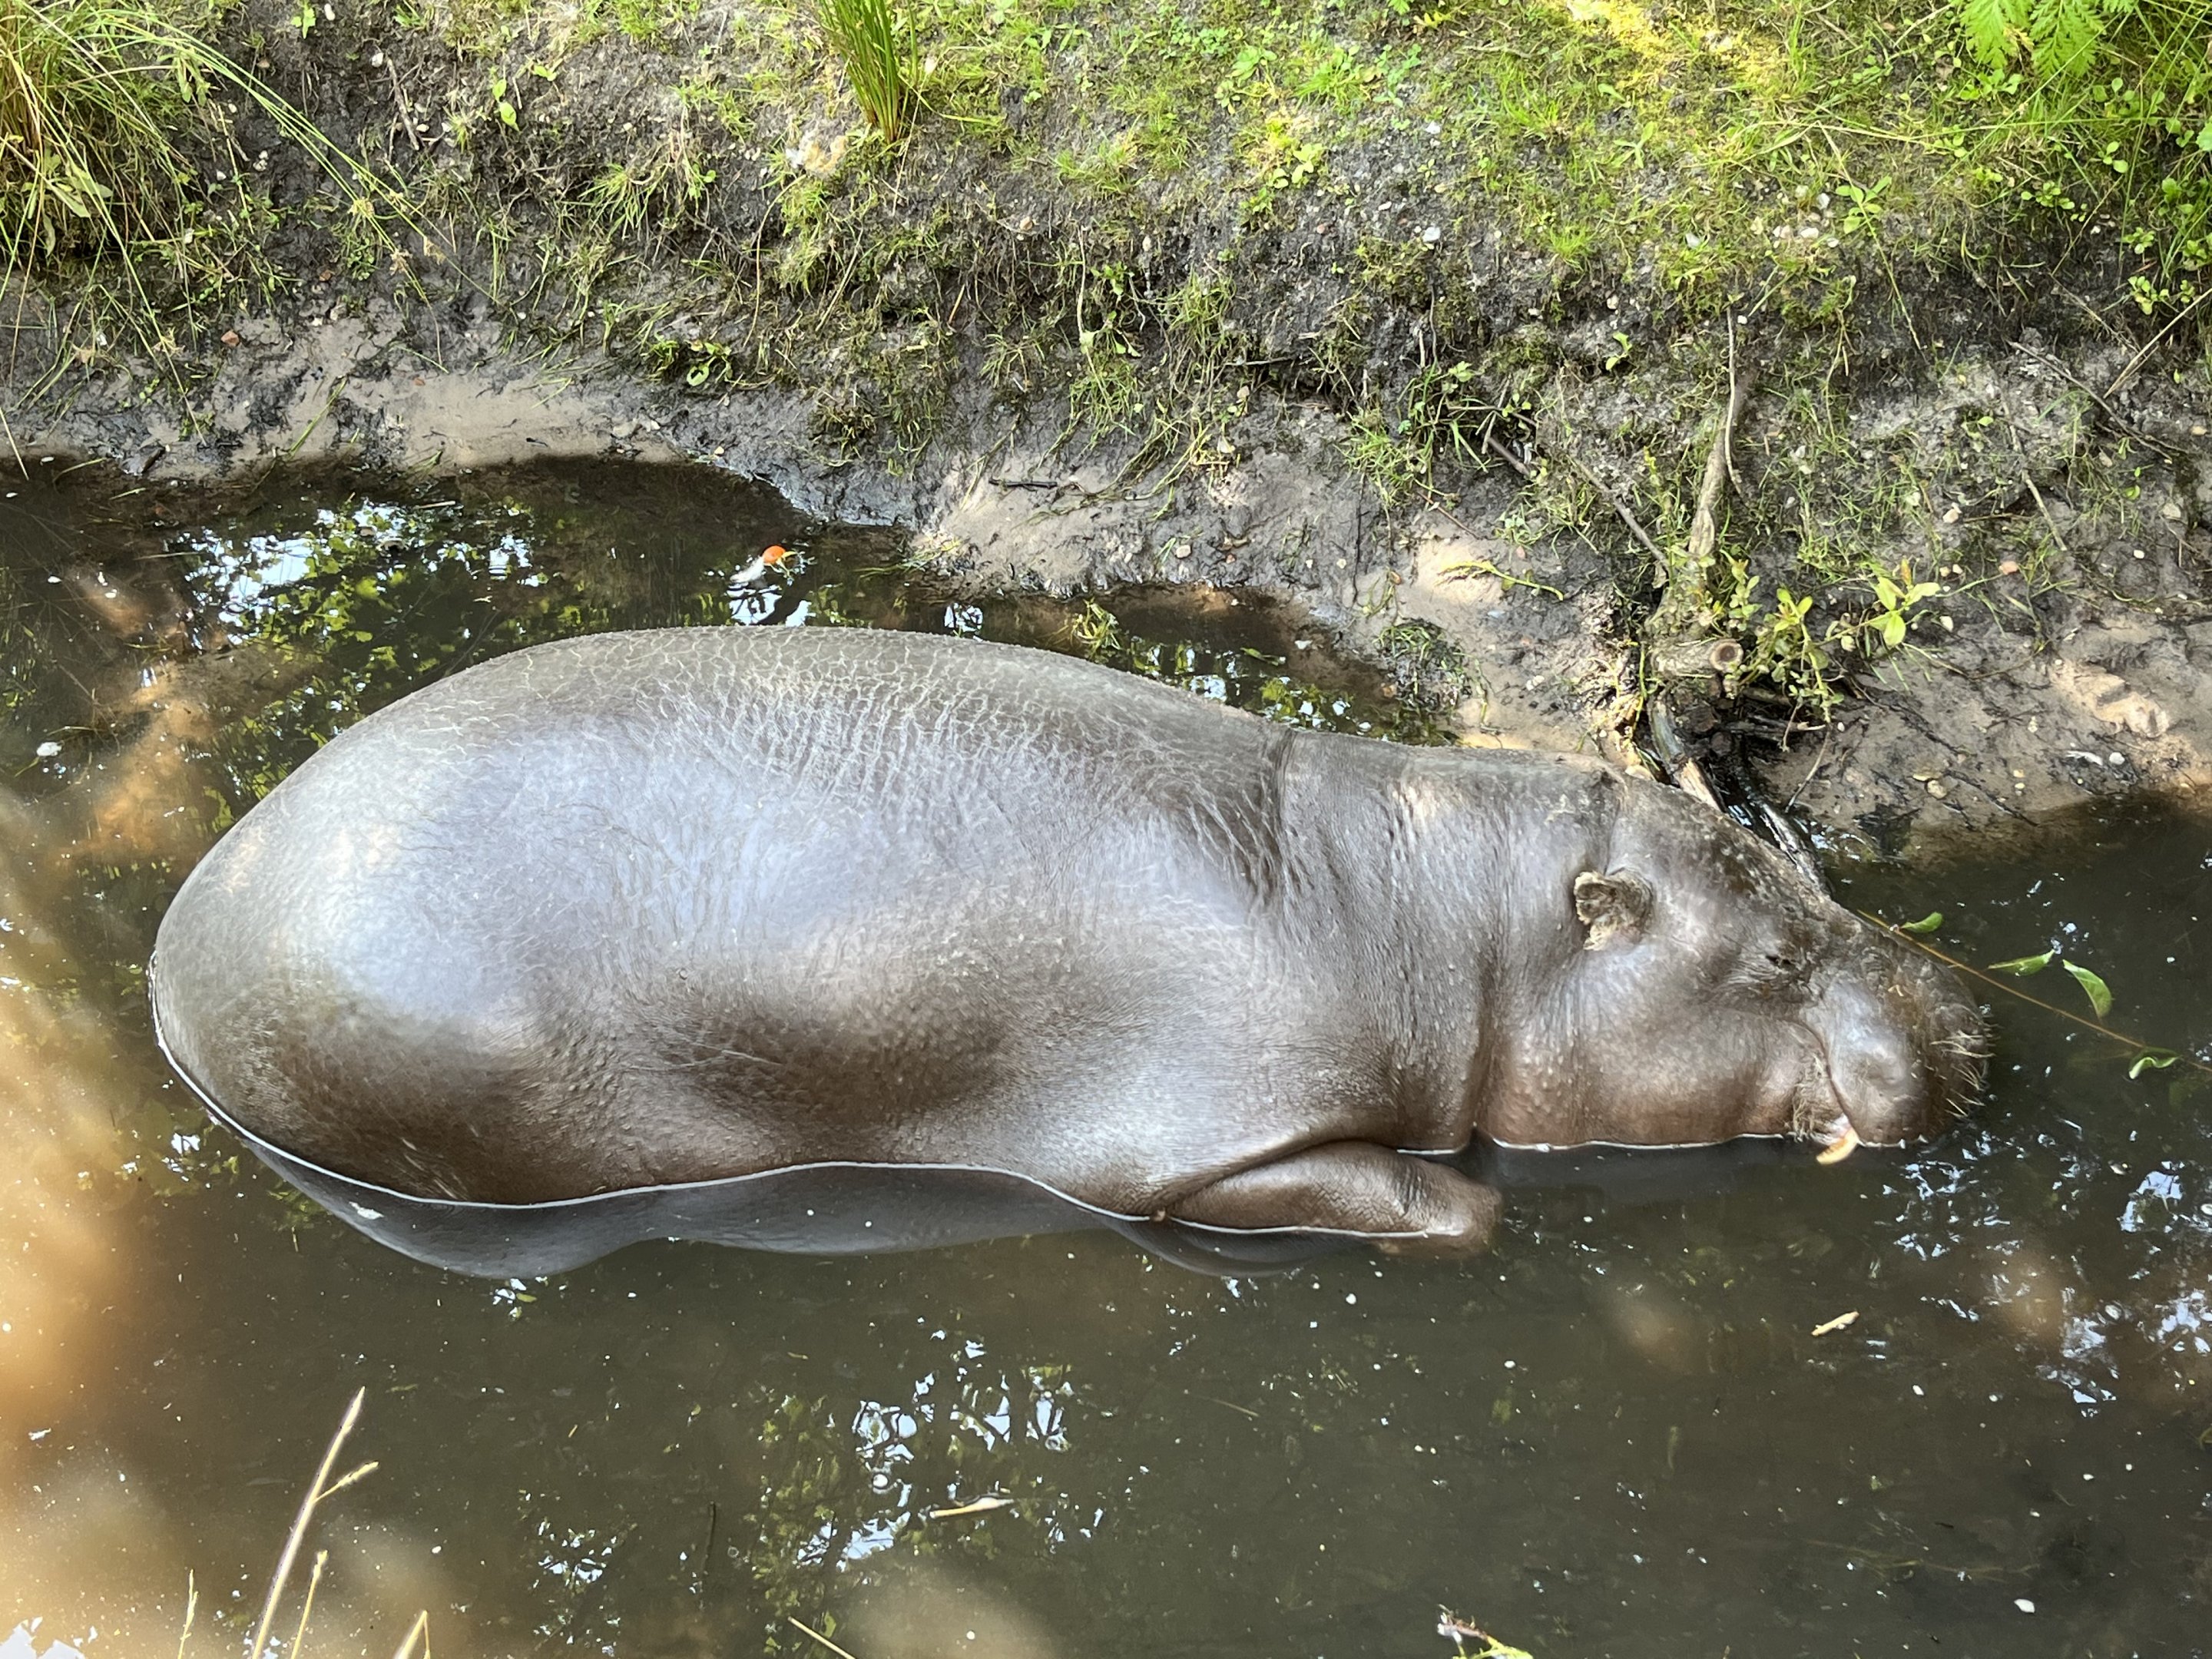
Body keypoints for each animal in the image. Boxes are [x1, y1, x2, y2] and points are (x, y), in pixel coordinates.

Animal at [148, 627, 1982, 1276]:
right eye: (1763, 956)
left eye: (1791, 861)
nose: (1969, 1021)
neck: (1431, 905)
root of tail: (186, 926)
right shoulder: (1197, 1140)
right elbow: (1437, 1205)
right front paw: (1470, 1209)